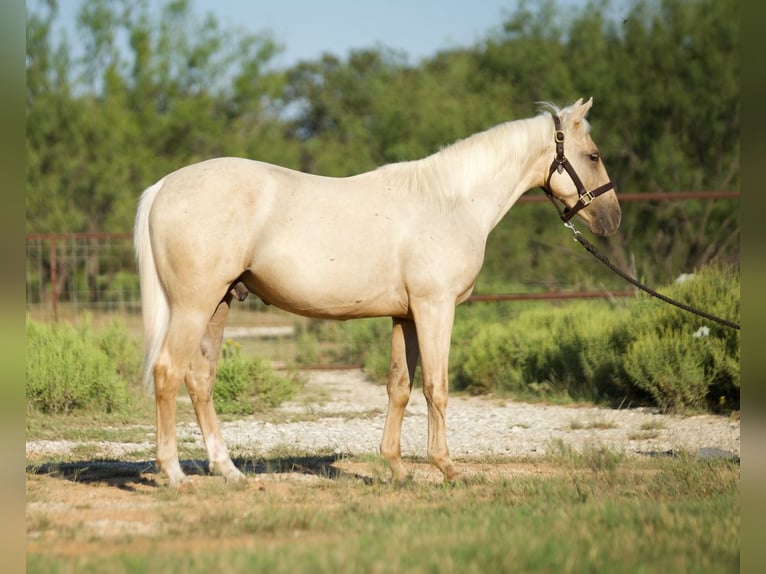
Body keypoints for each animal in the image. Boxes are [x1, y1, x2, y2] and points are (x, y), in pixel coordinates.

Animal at [134, 97, 621, 487]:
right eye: (593, 155)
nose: (612, 218)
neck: (450, 202)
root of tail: (164, 186)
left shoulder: (405, 316)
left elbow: (399, 387)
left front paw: (397, 469)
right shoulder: (434, 308)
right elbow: (437, 386)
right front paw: (447, 468)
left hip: (218, 305)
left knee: (200, 379)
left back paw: (228, 470)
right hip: (194, 306)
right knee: (168, 372)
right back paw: (174, 474)